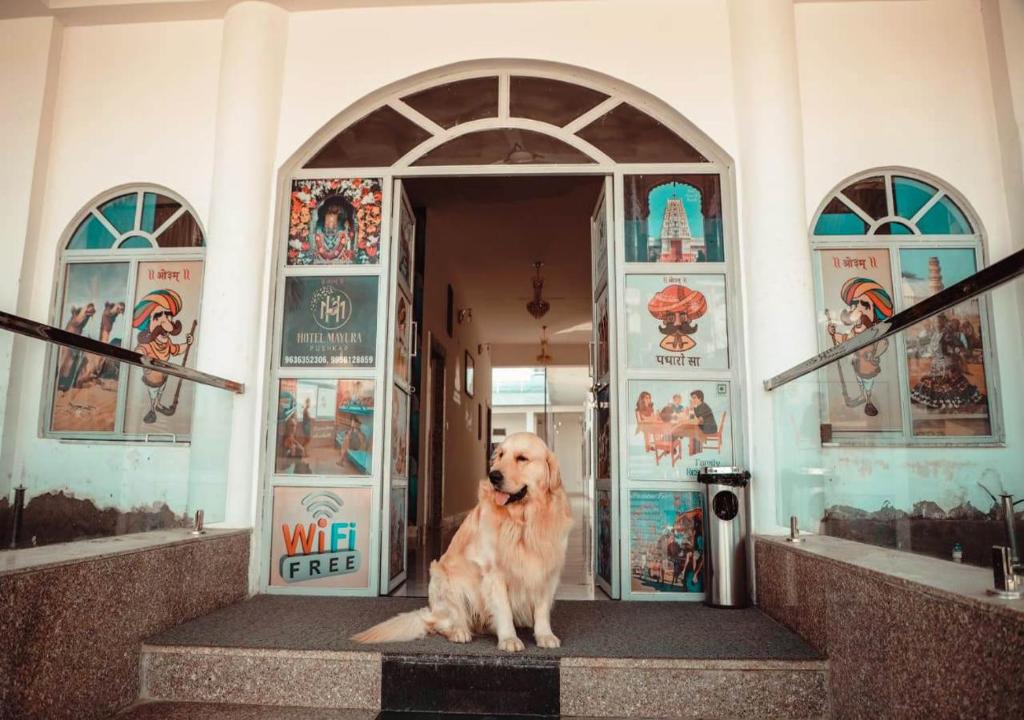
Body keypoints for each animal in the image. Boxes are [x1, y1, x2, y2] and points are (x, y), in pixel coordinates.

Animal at [352, 434, 573, 655]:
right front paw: (509, 638)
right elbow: (503, 610)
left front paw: (545, 635)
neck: (524, 521)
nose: (493, 476)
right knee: (439, 622)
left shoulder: (547, 571)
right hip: (444, 579)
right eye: (501, 455)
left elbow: (542, 609)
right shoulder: (494, 573)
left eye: (522, 458)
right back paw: (459, 631)